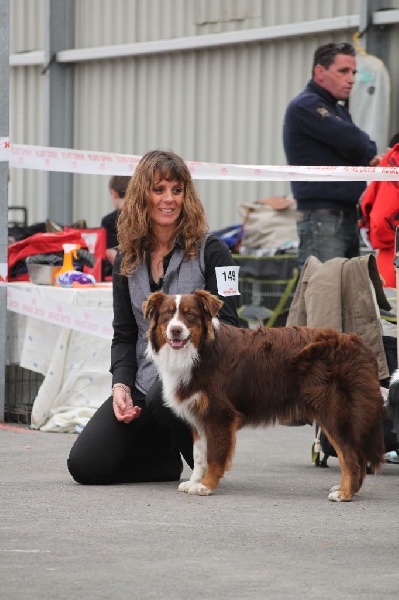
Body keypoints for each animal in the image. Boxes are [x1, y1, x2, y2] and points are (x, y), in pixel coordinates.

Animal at [143, 290, 384, 502]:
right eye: (167, 314)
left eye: (190, 314)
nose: (175, 330)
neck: (199, 351)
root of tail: (360, 345)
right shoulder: (199, 414)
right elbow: (200, 455)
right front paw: (194, 482)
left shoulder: (220, 414)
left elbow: (214, 456)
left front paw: (206, 486)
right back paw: (347, 489)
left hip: (334, 413)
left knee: (350, 457)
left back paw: (345, 493)